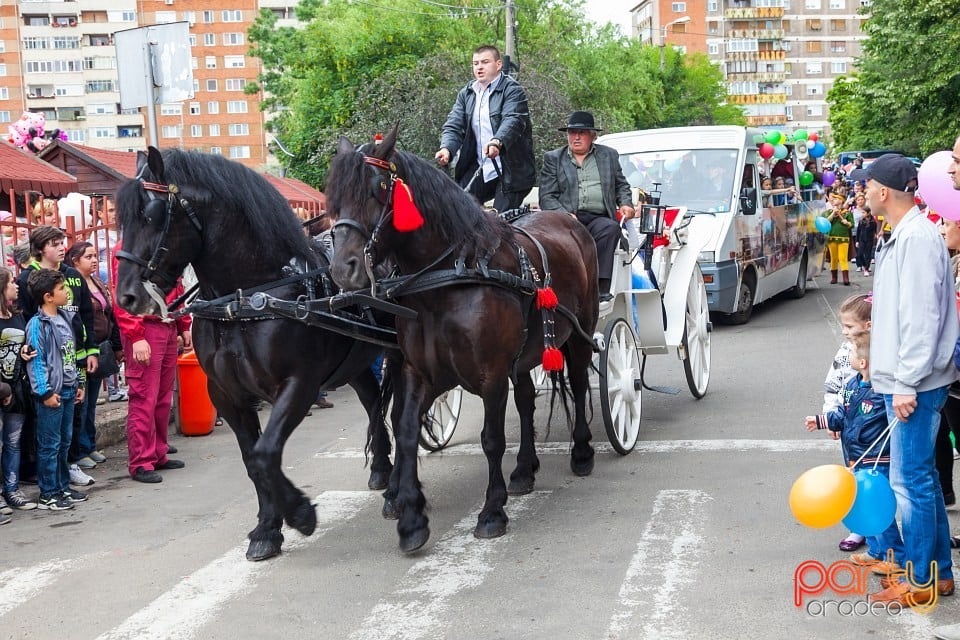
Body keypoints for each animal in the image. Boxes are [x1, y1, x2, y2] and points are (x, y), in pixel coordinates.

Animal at [114, 149, 392, 560]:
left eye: (152, 215)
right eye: (121, 218)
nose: (127, 297)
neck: (248, 299)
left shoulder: (298, 385)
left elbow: (265, 453)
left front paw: (300, 513)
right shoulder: (226, 395)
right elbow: (252, 460)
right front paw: (267, 528)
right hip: (355, 361)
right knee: (374, 403)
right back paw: (382, 469)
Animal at [330, 127, 600, 552]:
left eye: (378, 189)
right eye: (333, 195)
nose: (343, 269)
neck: (446, 279)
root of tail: (567, 218)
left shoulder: (491, 375)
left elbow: (492, 439)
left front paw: (492, 511)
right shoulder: (418, 371)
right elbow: (406, 429)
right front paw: (410, 517)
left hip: (579, 332)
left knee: (577, 381)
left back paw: (583, 452)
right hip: (524, 355)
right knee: (526, 401)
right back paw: (524, 470)